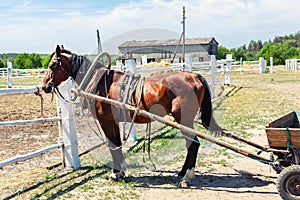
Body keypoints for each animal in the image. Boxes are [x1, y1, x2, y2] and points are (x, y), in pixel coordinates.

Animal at [42, 45, 220, 186]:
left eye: (52, 65)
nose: (44, 86)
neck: (101, 83)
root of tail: (195, 76)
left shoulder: (105, 121)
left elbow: (112, 145)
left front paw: (116, 173)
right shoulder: (113, 122)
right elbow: (117, 144)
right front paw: (120, 172)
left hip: (184, 120)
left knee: (193, 144)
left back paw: (186, 177)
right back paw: (182, 173)